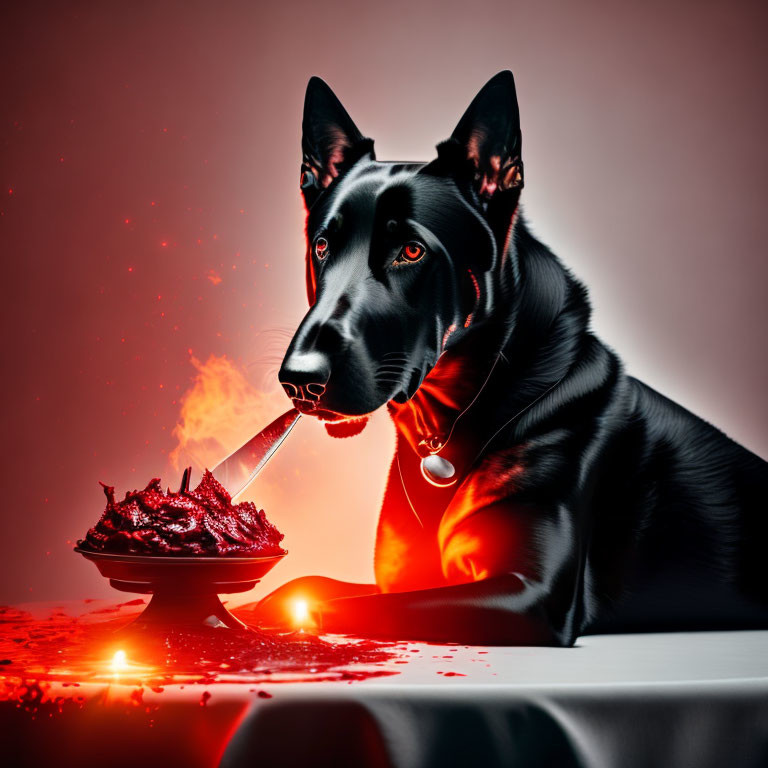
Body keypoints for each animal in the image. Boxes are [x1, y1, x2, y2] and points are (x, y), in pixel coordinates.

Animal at [260, 70, 768, 648]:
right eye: (323, 246)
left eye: (411, 251)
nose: (299, 381)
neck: (450, 424)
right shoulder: (407, 576)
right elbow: (307, 583)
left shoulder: (527, 593)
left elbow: (342, 605)